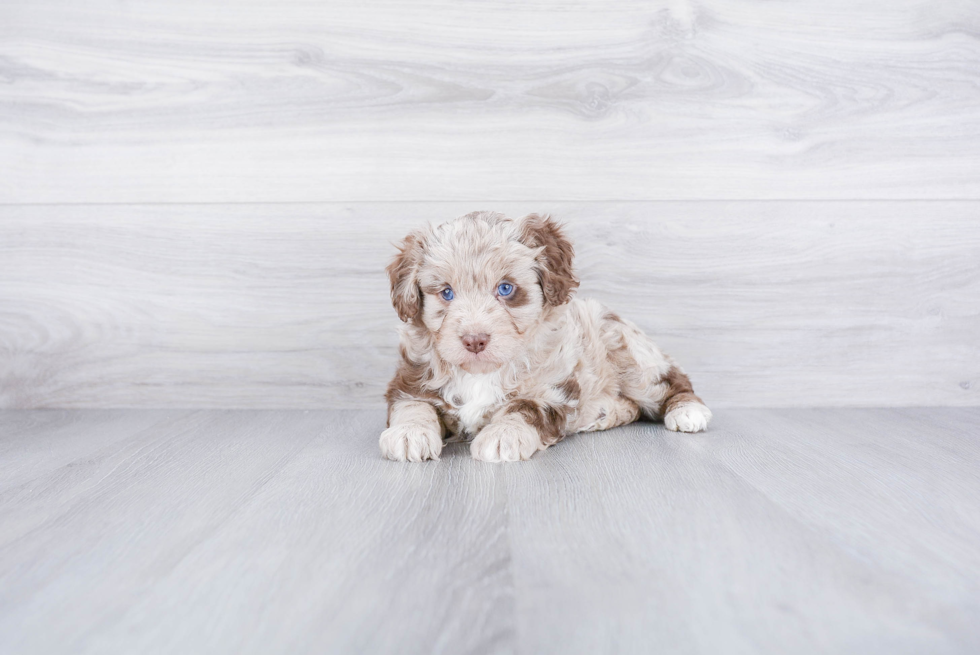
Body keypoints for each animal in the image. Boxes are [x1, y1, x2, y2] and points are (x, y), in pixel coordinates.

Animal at [380, 213, 712, 464]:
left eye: (506, 288)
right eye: (446, 292)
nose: (475, 340)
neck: (482, 373)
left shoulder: (553, 390)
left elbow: (523, 408)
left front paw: (503, 435)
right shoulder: (411, 381)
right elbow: (413, 406)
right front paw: (408, 434)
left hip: (628, 354)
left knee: (671, 381)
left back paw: (688, 410)